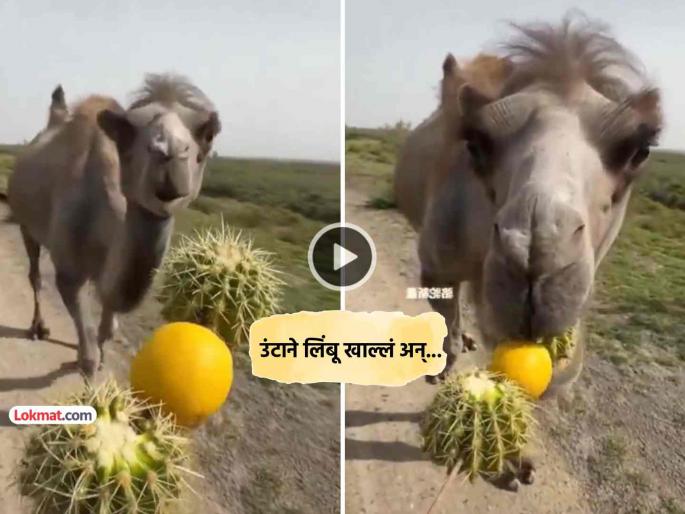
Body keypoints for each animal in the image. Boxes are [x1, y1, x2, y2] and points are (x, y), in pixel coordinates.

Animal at [8, 74, 221, 377]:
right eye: (126, 131)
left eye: (208, 133)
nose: (169, 152)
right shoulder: (69, 273)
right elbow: (89, 357)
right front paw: (88, 369)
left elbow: (108, 328)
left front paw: (99, 356)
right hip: (26, 224)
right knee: (35, 275)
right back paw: (39, 327)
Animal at [395, 14, 662, 390]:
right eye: (476, 142)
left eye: (640, 151)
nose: (537, 252)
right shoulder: (436, 267)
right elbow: (449, 317)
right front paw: (444, 367)